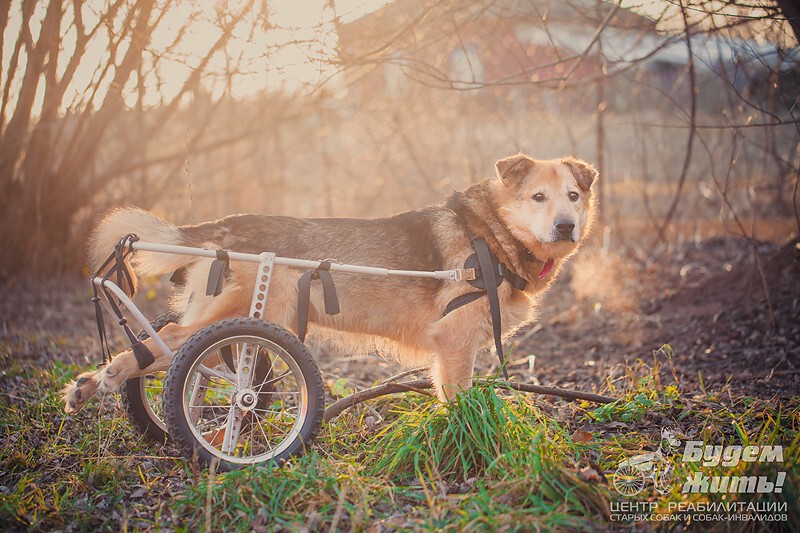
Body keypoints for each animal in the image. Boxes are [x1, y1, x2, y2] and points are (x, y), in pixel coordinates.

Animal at [62, 152, 596, 410]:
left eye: (573, 195)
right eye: (538, 197)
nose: (566, 226)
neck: (490, 233)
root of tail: (221, 227)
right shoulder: (454, 341)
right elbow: (459, 402)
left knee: (164, 357)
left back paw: (88, 385)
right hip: (240, 320)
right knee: (168, 343)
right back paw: (104, 379)